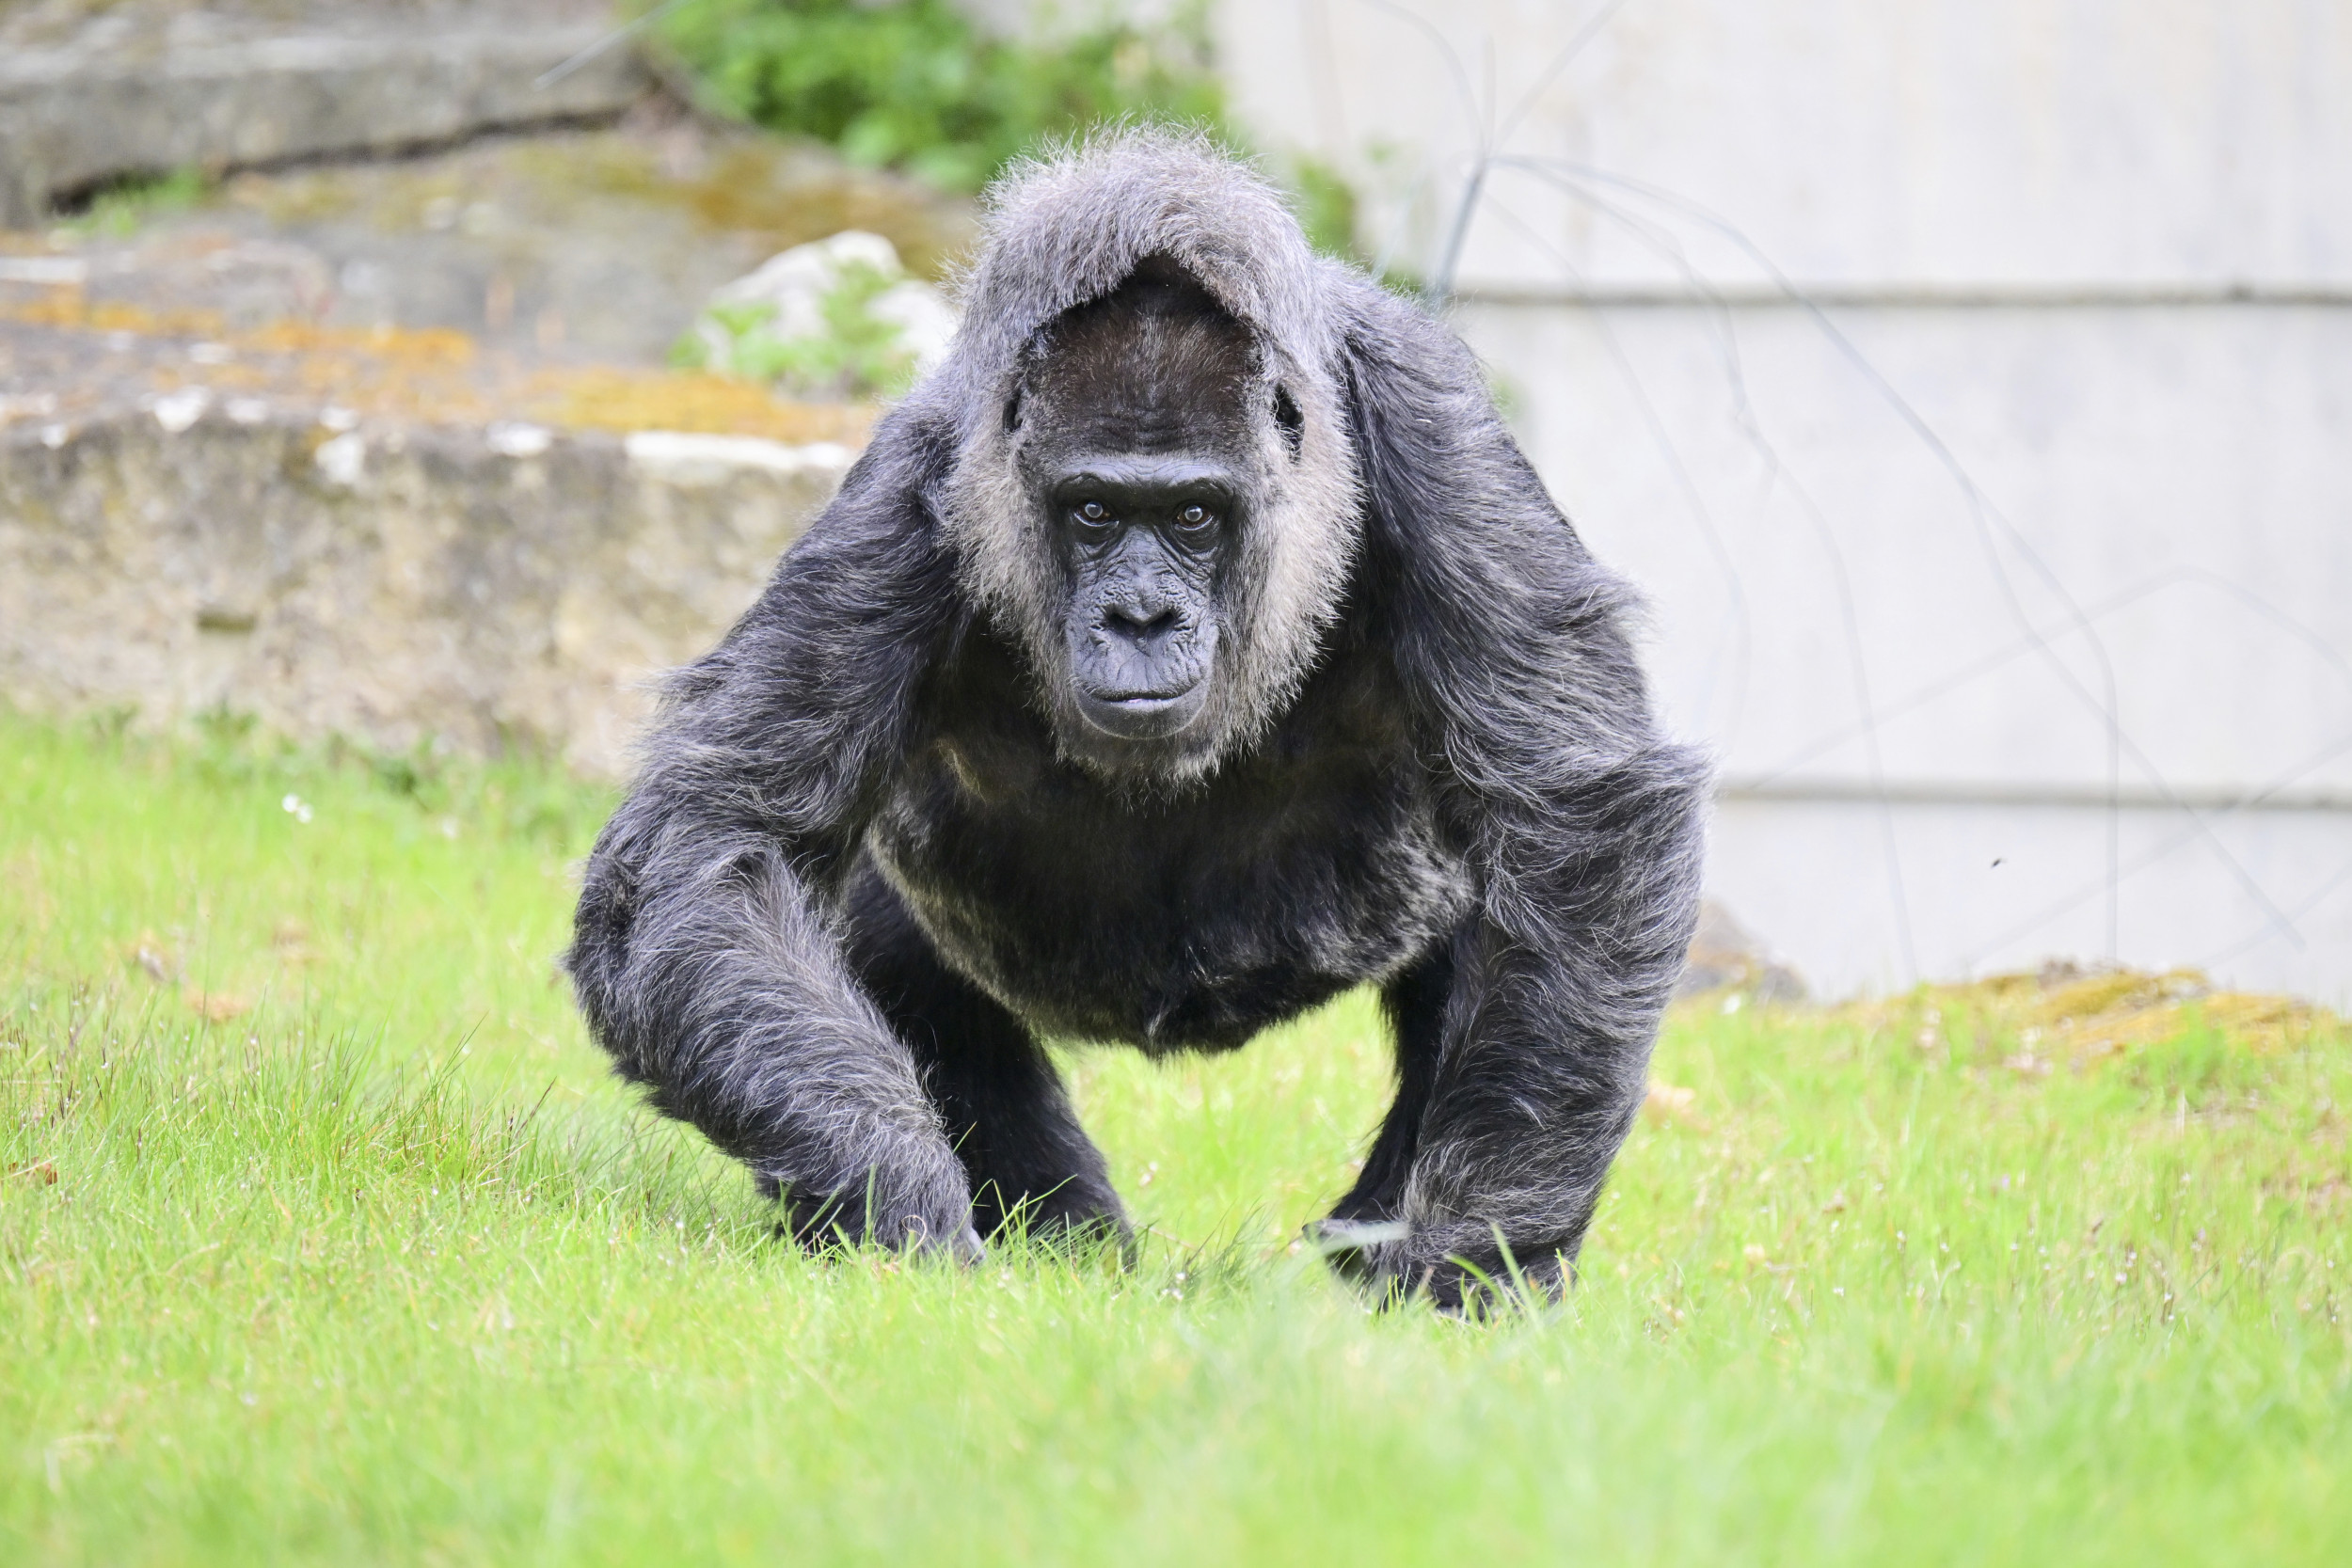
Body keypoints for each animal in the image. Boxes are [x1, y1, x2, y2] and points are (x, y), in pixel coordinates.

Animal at [565, 130, 1709, 1308]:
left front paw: (1473, 1255)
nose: (1142, 616)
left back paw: (1366, 1249)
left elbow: (1574, 821)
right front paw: (891, 1194)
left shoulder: (1438, 442)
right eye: (1094, 511)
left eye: (1194, 513)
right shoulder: (908, 492)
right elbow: (718, 842)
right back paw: (1057, 1228)